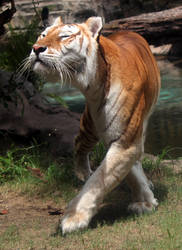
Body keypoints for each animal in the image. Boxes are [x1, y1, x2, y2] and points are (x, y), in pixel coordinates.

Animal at [28, 16, 161, 233]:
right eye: (43, 35)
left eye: (64, 36)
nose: (36, 48)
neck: (93, 85)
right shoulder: (117, 137)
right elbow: (125, 173)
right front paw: (145, 200)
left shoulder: (126, 139)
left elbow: (99, 181)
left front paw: (73, 218)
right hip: (89, 126)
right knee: (78, 143)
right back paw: (83, 172)